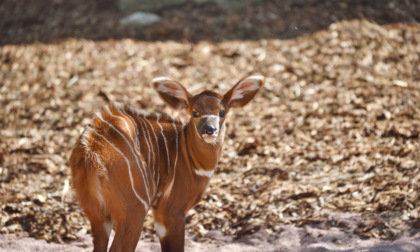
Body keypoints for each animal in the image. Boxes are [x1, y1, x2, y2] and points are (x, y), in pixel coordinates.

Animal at [70, 75, 264, 252]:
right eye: (195, 112)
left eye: (222, 112)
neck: (190, 158)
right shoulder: (171, 210)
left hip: (97, 215)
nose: (210, 130)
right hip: (134, 210)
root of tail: (90, 153)